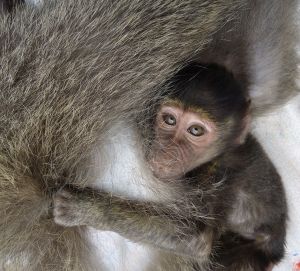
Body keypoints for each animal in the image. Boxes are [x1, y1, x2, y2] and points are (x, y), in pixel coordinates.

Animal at [54, 65, 288, 270]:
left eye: (195, 130)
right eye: (169, 119)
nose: (166, 151)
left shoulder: (220, 174)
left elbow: (197, 238)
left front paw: (87, 207)